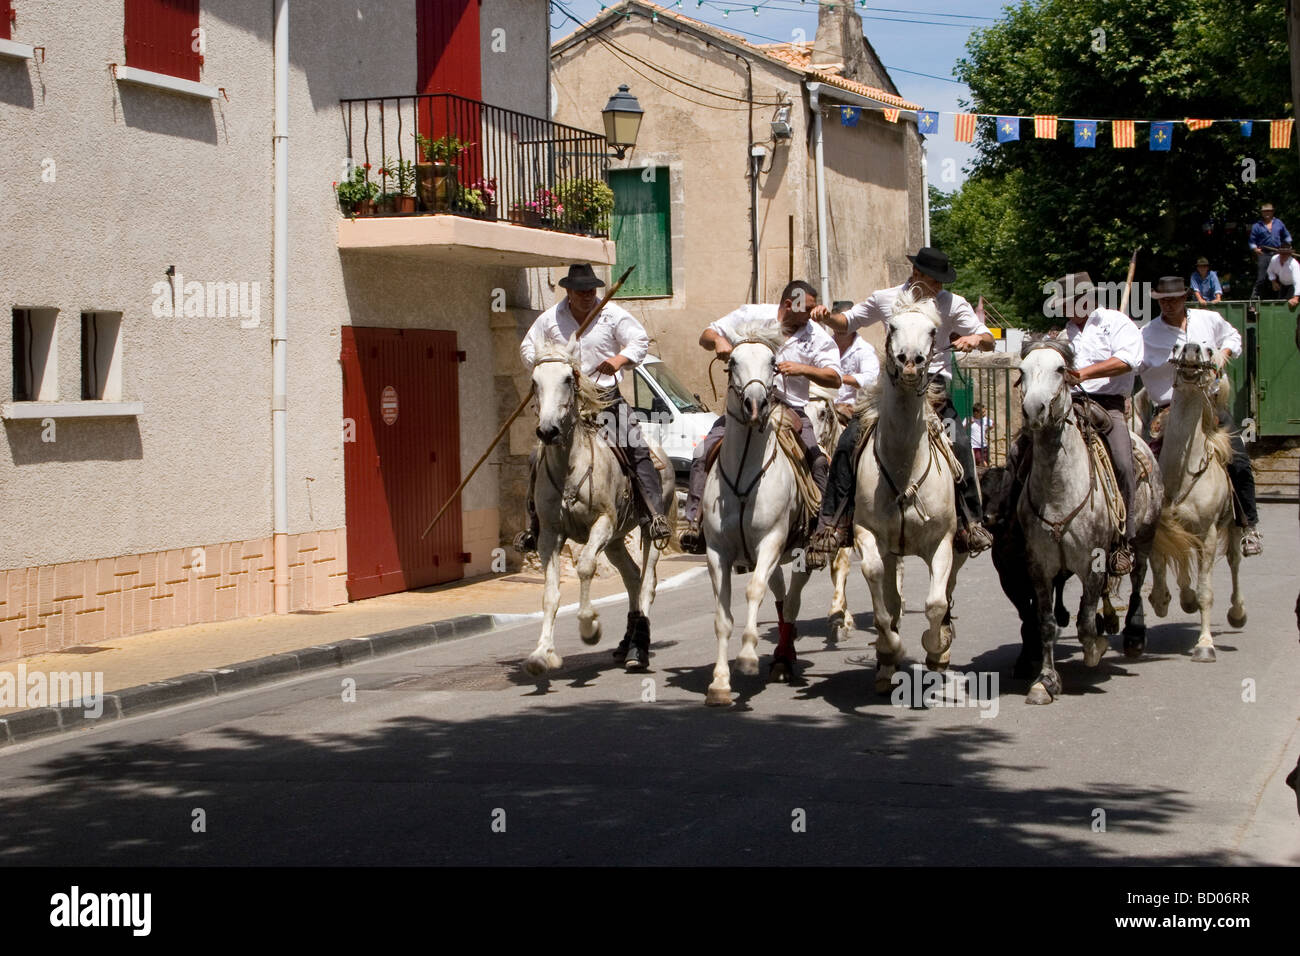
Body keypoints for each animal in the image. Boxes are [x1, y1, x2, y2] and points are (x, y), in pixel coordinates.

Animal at [522, 343, 676, 671]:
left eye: (568, 378)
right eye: (535, 381)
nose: (548, 431)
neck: (569, 467)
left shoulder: (602, 523)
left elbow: (585, 567)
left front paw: (588, 626)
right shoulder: (549, 535)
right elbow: (550, 594)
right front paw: (542, 653)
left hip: (648, 530)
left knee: (647, 583)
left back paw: (638, 649)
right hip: (616, 541)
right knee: (632, 577)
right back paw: (626, 643)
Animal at [707, 325, 806, 707]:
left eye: (773, 362)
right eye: (732, 360)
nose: (754, 404)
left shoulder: (771, 541)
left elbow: (754, 590)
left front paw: (748, 656)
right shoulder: (717, 551)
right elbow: (722, 617)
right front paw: (720, 683)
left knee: (791, 600)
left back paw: (782, 658)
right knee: (782, 597)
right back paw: (782, 656)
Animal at [852, 287, 967, 691]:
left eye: (933, 331)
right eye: (892, 326)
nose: (911, 363)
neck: (904, 468)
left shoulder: (943, 542)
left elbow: (935, 603)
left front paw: (935, 649)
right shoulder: (867, 534)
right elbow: (879, 590)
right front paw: (891, 648)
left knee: (947, 593)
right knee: (892, 594)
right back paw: (887, 664)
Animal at [1019, 343, 1164, 702]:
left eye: (1060, 370)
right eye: (1021, 371)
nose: (1033, 410)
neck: (1059, 491)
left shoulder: (1093, 563)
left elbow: (1085, 620)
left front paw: (1094, 649)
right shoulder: (1040, 567)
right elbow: (1047, 623)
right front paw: (1045, 681)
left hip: (1144, 536)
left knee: (1138, 577)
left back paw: (1133, 634)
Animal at [1149, 340, 1248, 660]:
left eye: (1209, 349)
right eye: (1176, 346)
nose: (1191, 348)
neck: (1183, 472)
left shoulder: (1209, 533)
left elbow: (1207, 592)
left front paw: (1205, 645)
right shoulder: (1160, 528)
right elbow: (1160, 568)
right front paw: (1165, 600)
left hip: (1233, 528)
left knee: (1234, 562)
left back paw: (1237, 613)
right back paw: (1185, 597)